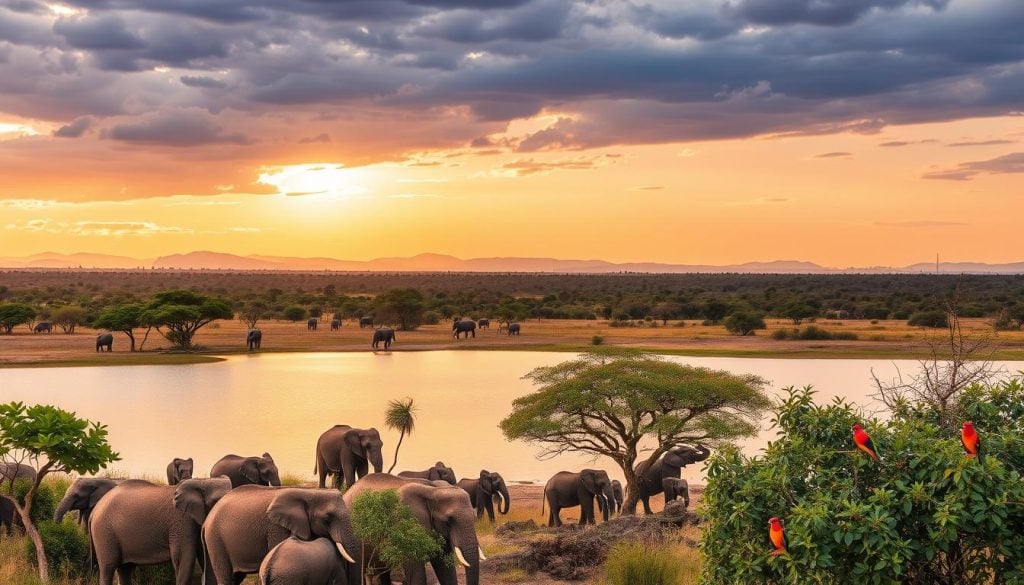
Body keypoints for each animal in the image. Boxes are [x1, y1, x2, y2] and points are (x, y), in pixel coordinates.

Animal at [90, 477, 232, 585]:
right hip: (104, 532)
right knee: (108, 567)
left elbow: (206, 558)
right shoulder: (181, 521)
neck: (202, 481)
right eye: (217, 501)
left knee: (125, 569)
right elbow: (184, 558)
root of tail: (94, 511)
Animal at [201, 485, 358, 585]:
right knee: (226, 576)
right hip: (215, 538)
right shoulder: (276, 526)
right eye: (327, 518)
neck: (308, 491)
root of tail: (205, 522)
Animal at [344, 473, 483, 585]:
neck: (433, 489)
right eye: (449, 521)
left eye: (474, 518)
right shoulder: (405, 523)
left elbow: (445, 569)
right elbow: (416, 572)